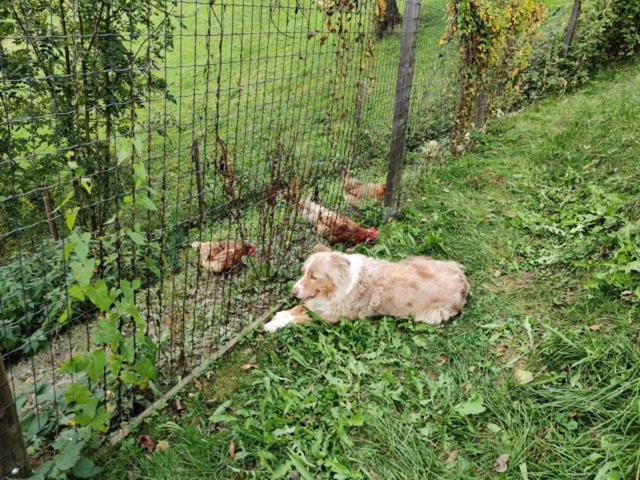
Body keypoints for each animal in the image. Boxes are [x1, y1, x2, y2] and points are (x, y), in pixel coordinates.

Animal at [262, 246, 468, 332]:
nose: (293, 292)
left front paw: (274, 324)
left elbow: (301, 316)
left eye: (314, 277)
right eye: (303, 272)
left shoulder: (332, 317)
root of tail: (463, 281)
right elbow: (301, 307)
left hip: (431, 316)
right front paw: (282, 314)